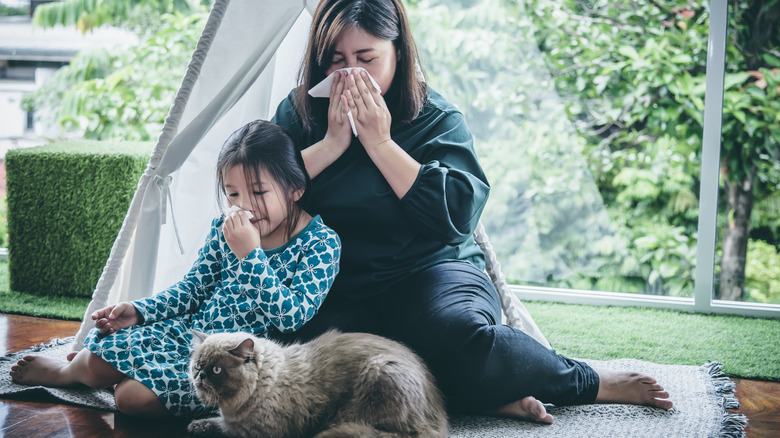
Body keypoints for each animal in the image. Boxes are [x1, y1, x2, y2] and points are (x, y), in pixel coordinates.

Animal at [186, 330, 448, 436]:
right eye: (197, 367)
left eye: (216, 370)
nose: (200, 377)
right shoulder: (234, 422)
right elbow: (214, 422)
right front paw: (195, 426)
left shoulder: (254, 432)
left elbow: (222, 427)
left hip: (378, 371)